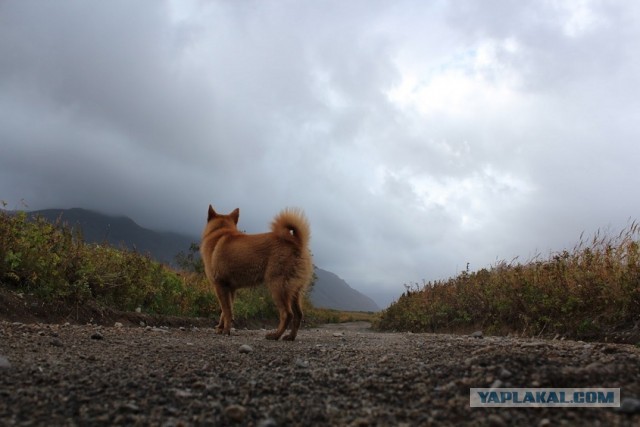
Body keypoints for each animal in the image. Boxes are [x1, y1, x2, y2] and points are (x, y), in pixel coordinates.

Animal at [199, 206, 312, 342]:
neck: (220, 231)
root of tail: (296, 242)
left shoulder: (220, 286)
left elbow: (226, 311)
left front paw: (226, 330)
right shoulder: (230, 289)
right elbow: (225, 312)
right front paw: (221, 328)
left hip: (277, 288)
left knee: (287, 314)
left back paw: (275, 335)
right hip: (294, 291)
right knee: (298, 315)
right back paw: (290, 336)